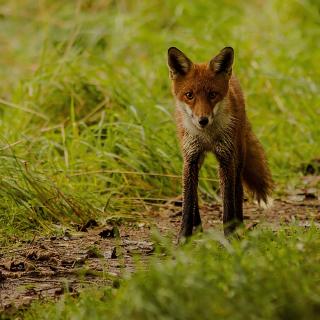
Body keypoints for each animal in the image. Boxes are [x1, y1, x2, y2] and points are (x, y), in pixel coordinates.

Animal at [166, 47, 274, 238]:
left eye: (212, 95)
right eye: (189, 95)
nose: (203, 120)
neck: (207, 136)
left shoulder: (225, 159)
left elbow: (228, 203)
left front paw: (231, 237)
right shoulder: (190, 158)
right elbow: (187, 202)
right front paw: (183, 237)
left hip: (238, 156)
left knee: (238, 189)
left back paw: (240, 225)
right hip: (197, 160)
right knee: (195, 193)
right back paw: (197, 226)